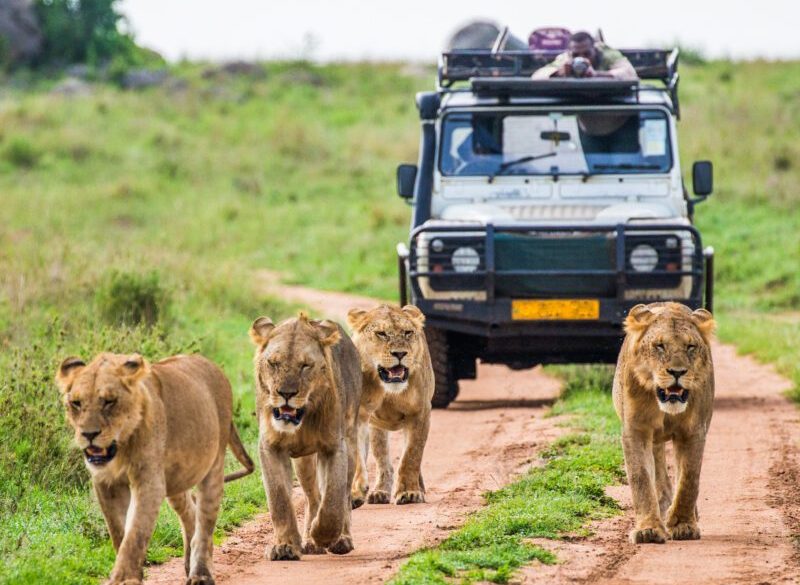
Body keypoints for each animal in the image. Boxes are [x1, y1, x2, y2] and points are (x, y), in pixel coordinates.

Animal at [55, 352, 254, 585]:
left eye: (109, 402)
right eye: (76, 403)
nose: (88, 434)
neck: (122, 447)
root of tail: (213, 366)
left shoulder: (149, 482)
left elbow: (135, 534)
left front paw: (123, 578)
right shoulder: (105, 483)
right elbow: (118, 532)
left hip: (213, 465)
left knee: (204, 524)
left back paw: (201, 574)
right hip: (177, 479)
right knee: (190, 513)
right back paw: (189, 564)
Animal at [249, 313, 362, 560]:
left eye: (305, 366)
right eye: (274, 363)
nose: (286, 393)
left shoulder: (334, 447)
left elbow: (333, 500)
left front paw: (323, 535)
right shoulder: (270, 447)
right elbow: (279, 499)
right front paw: (285, 546)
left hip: (350, 443)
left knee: (344, 495)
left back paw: (339, 539)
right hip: (304, 461)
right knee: (313, 496)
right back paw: (310, 541)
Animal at [346, 304, 434, 507]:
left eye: (408, 333)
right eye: (381, 333)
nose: (400, 353)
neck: (387, 389)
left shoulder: (420, 413)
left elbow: (411, 456)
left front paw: (409, 492)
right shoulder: (357, 416)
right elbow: (357, 457)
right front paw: (356, 492)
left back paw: (418, 488)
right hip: (376, 428)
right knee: (382, 461)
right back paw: (379, 492)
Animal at [612, 302, 716, 544]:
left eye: (690, 346)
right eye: (659, 346)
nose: (677, 372)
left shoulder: (694, 432)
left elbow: (688, 479)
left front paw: (683, 525)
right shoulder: (636, 430)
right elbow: (640, 477)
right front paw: (648, 529)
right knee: (658, 470)